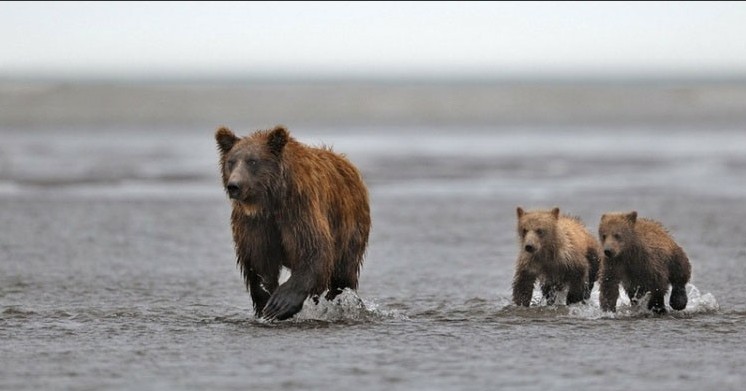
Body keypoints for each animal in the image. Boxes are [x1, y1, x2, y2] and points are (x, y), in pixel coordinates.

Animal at [215, 125, 370, 322]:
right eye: (231, 161)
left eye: (253, 161)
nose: (234, 185)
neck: (270, 201)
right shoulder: (255, 223)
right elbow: (258, 262)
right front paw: (266, 303)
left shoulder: (299, 209)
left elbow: (314, 250)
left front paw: (279, 304)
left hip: (350, 225)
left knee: (343, 274)